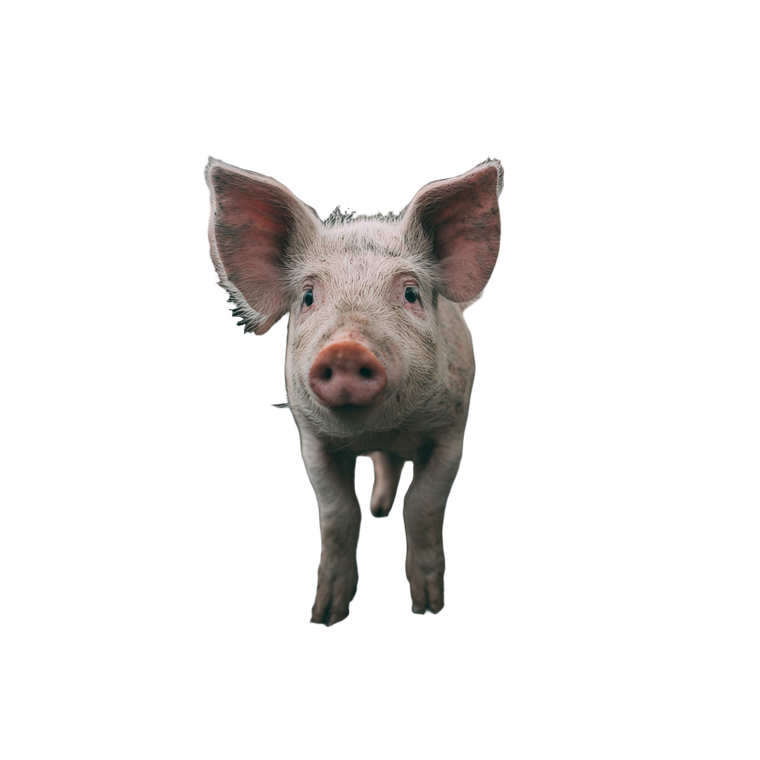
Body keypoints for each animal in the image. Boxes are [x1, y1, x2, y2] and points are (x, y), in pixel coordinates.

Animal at [203, 156, 504, 626]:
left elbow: (423, 504)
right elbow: (338, 514)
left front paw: (427, 606)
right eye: (308, 296)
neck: (382, 431)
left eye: (411, 292)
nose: (346, 348)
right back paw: (377, 510)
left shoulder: (452, 432)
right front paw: (325, 616)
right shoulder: (312, 440)